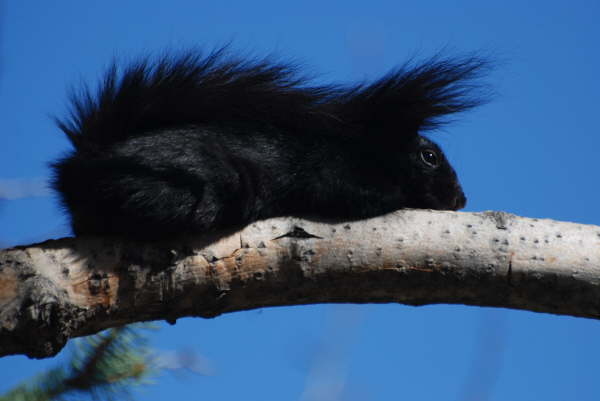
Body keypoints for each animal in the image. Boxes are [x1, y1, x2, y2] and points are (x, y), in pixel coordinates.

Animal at [51, 47, 490, 238]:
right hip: (180, 184)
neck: (365, 150)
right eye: (429, 156)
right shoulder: (336, 175)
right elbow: (364, 195)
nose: (461, 198)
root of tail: (80, 164)